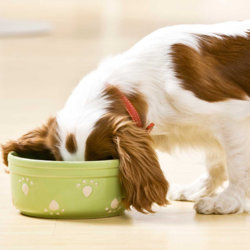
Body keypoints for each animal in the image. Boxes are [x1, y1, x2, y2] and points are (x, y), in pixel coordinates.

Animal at [1, 20, 250, 215]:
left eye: (105, 159)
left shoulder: (232, 118)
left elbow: (237, 167)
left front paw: (226, 202)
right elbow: (215, 161)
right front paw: (197, 189)